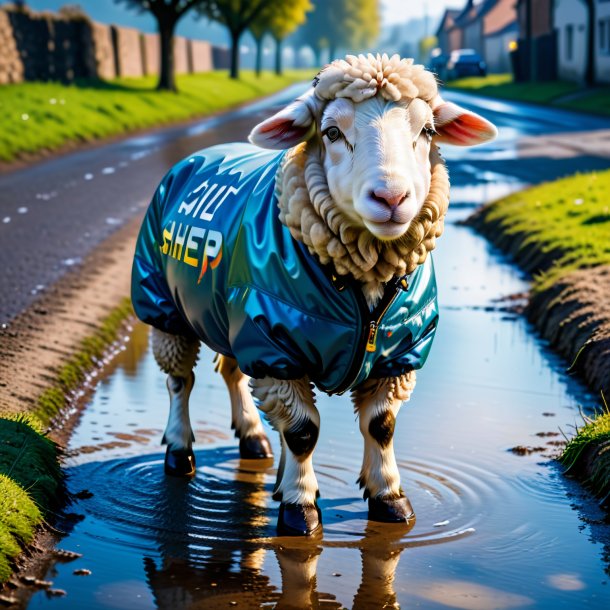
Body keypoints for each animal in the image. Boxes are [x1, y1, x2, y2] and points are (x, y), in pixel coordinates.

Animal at [132, 54, 494, 536]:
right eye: (332, 133)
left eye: (428, 131)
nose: (391, 197)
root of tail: (204, 153)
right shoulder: (275, 347)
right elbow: (303, 432)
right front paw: (300, 507)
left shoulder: (397, 356)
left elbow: (381, 426)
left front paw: (389, 498)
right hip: (166, 307)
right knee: (179, 381)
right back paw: (179, 450)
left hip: (227, 315)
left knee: (232, 372)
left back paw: (253, 439)